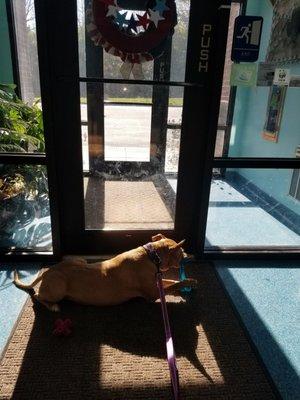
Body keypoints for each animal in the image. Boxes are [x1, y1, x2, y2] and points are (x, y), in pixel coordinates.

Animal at [14, 234, 197, 312]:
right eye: (181, 252)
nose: (190, 255)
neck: (151, 255)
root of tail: (48, 272)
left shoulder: (156, 282)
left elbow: (172, 283)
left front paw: (189, 282)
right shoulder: (152, 294)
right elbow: (172, 286)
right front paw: (188, 282)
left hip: (80, 260)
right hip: (57, 289)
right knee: (38, 296)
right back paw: (52, 306)